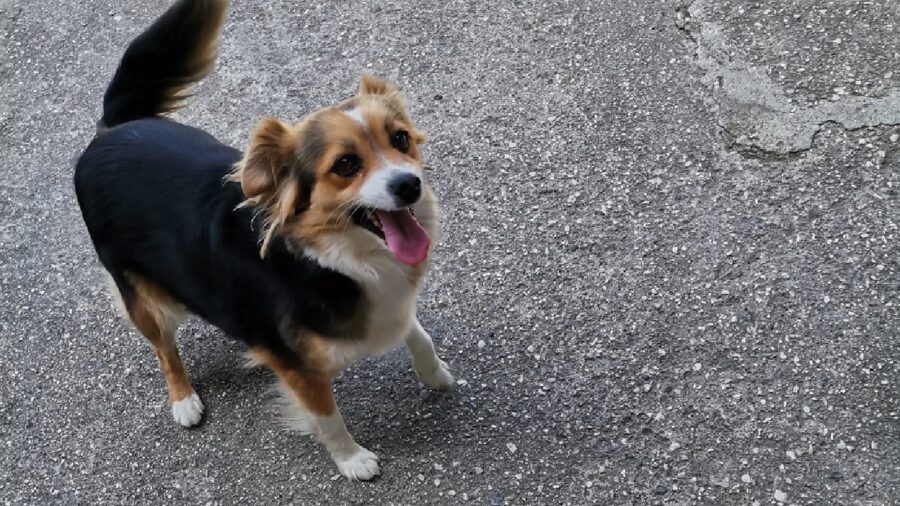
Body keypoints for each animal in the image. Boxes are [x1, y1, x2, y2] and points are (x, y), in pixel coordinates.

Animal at [74, 0, 454, 480]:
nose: (409, 185)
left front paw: (434, 372)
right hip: (145, 294)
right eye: (346, 165)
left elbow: (417, 334)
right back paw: (182, 398)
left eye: (401, 139)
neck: (329, 257)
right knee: (163, 347)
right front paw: (352, 460)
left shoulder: (390, 306)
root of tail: (111, 132)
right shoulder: (297, 368)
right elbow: (327, 416)